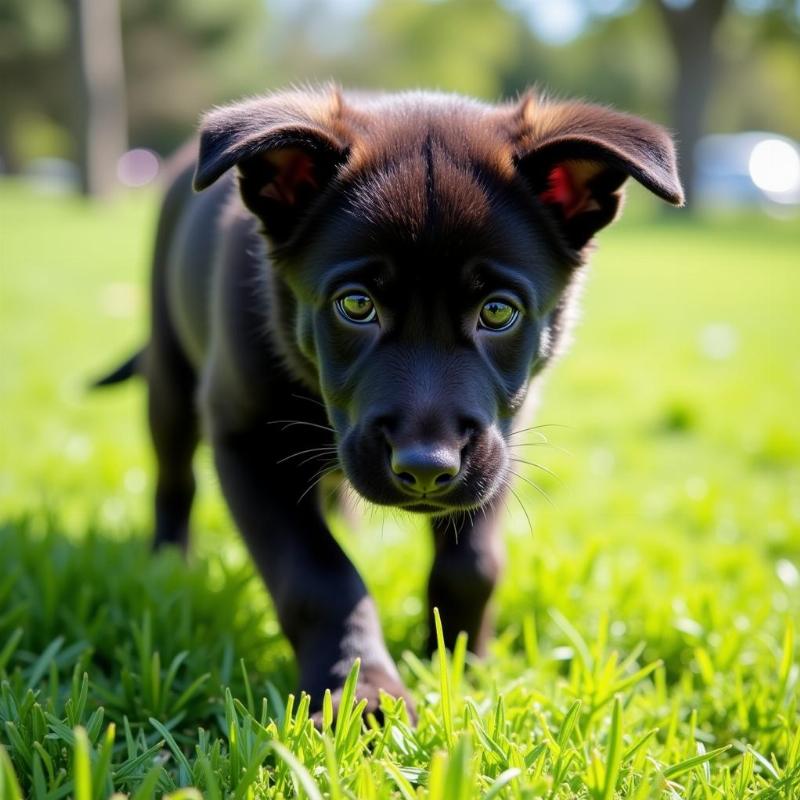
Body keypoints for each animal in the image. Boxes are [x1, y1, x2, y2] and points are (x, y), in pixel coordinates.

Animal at [100, 87, 684, 720]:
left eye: (498, 312)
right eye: (356, 305)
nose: (426, 468)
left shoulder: (504, 438)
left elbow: (473, 565)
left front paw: (462, 664)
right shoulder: (246, 439)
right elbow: (319, 578)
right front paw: (361, 689)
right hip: (170, 373)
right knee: (174, 475)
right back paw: (166, 560)